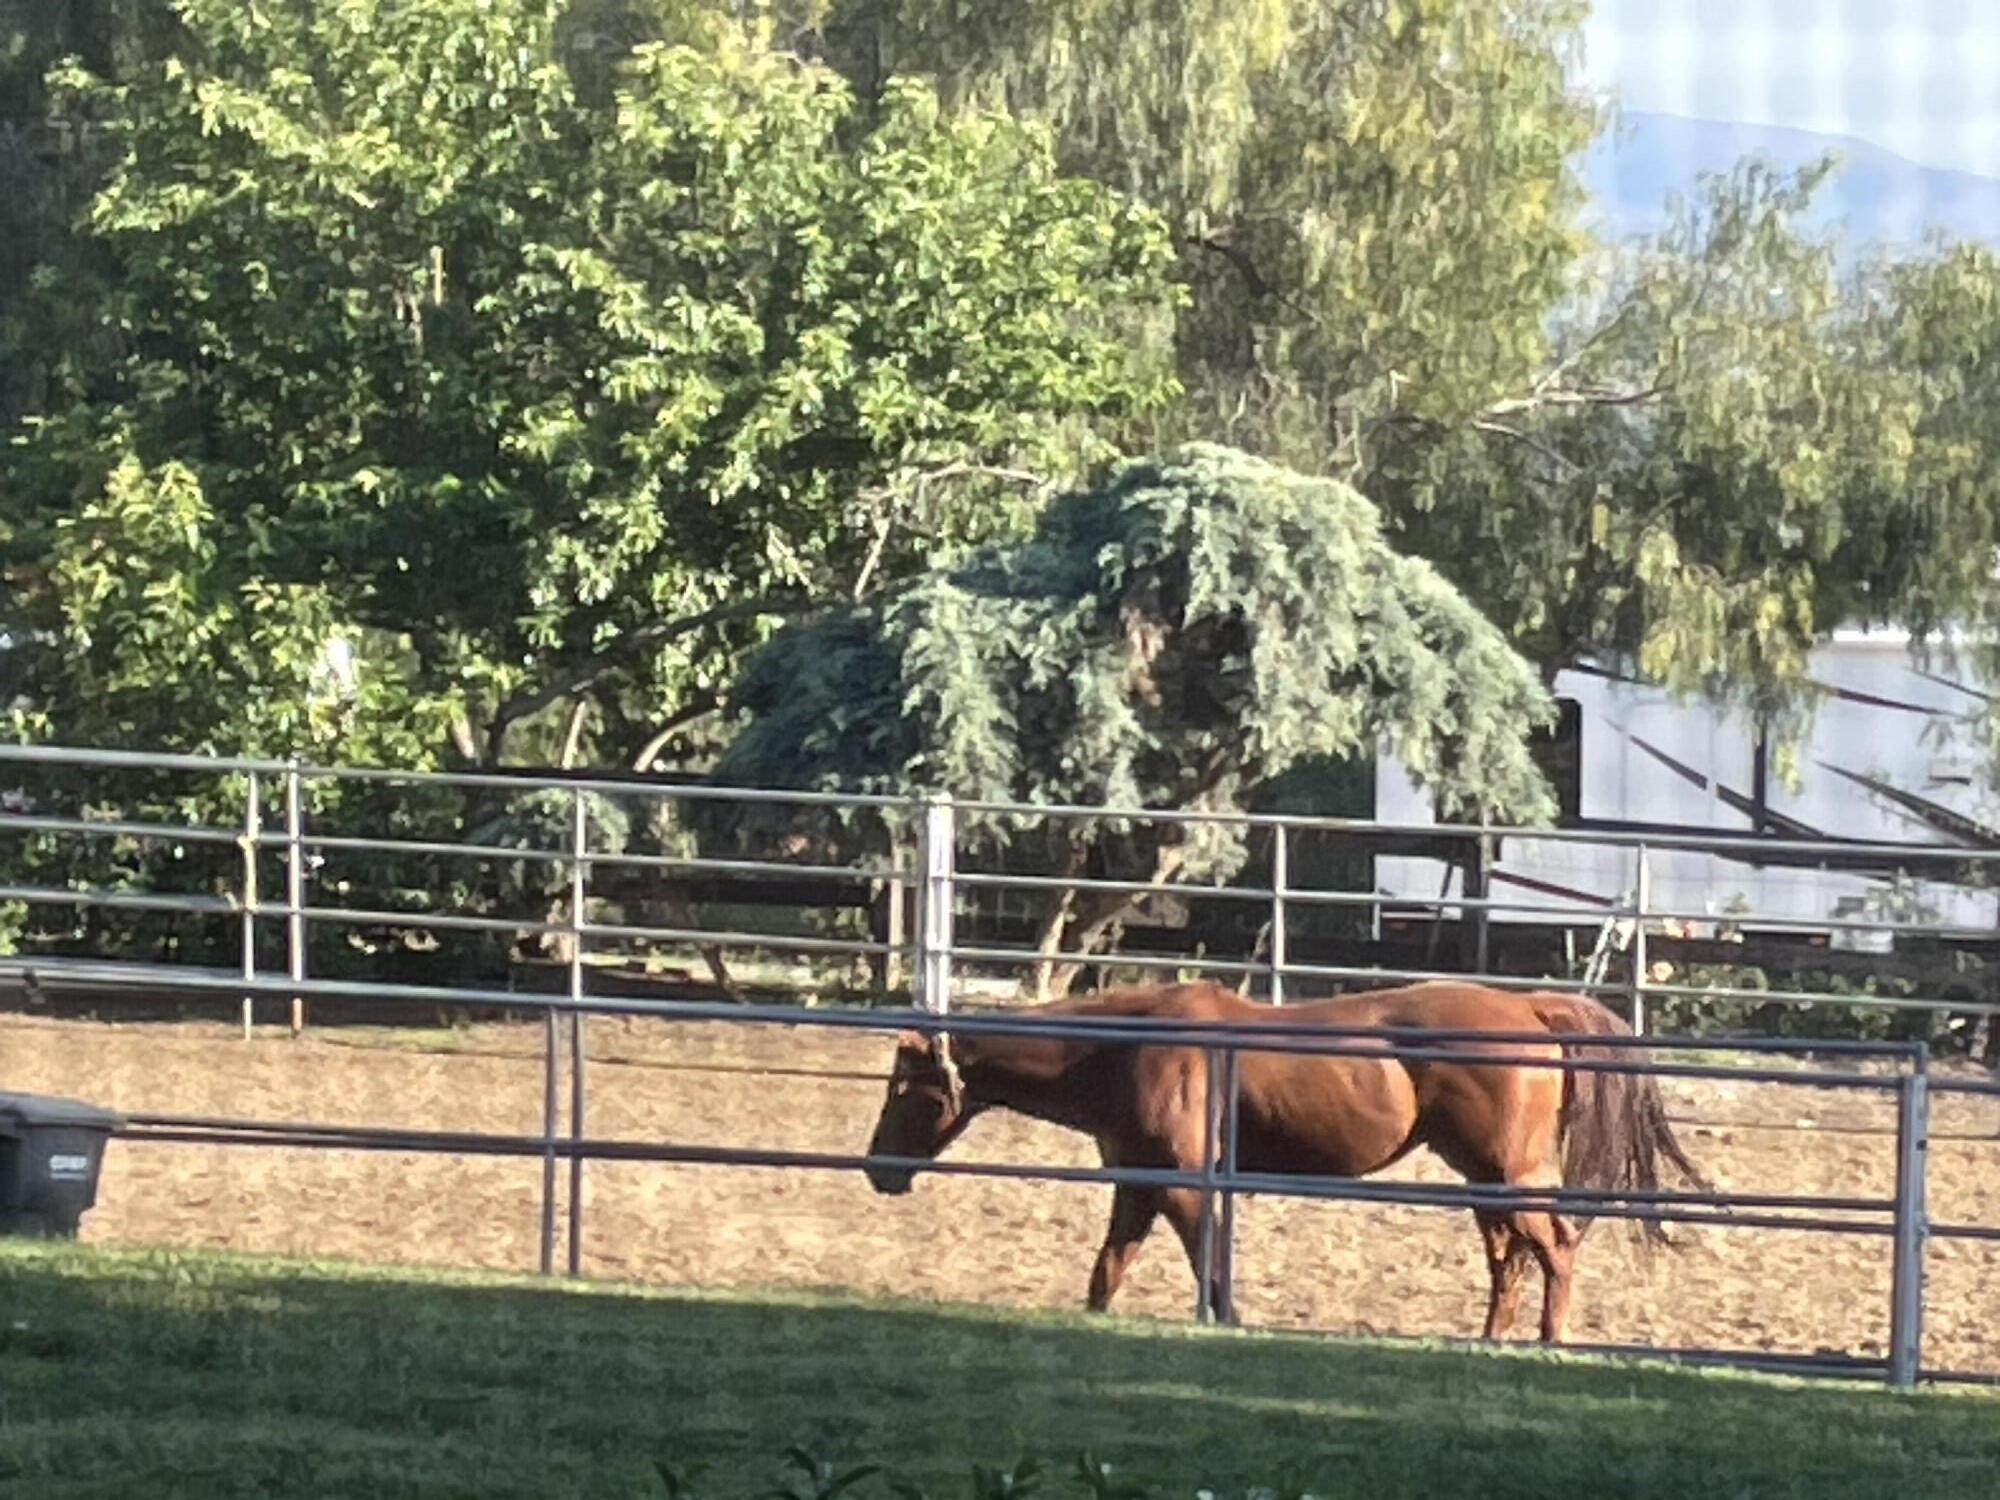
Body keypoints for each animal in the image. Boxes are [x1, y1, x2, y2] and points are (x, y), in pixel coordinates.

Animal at [862, 979, 1710, 1343]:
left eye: (909, 1089)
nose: (878, 1170)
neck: (1133, 1050)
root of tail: (1531, 1007)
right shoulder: (1137, 1185)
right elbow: (1108, 1271)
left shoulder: (1184, 1187)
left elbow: (1210, 1264)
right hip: (1486, 1184)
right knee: (1511, 1262)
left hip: (1511, 1177)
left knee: (1554, 1252)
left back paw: (1547, 1342)